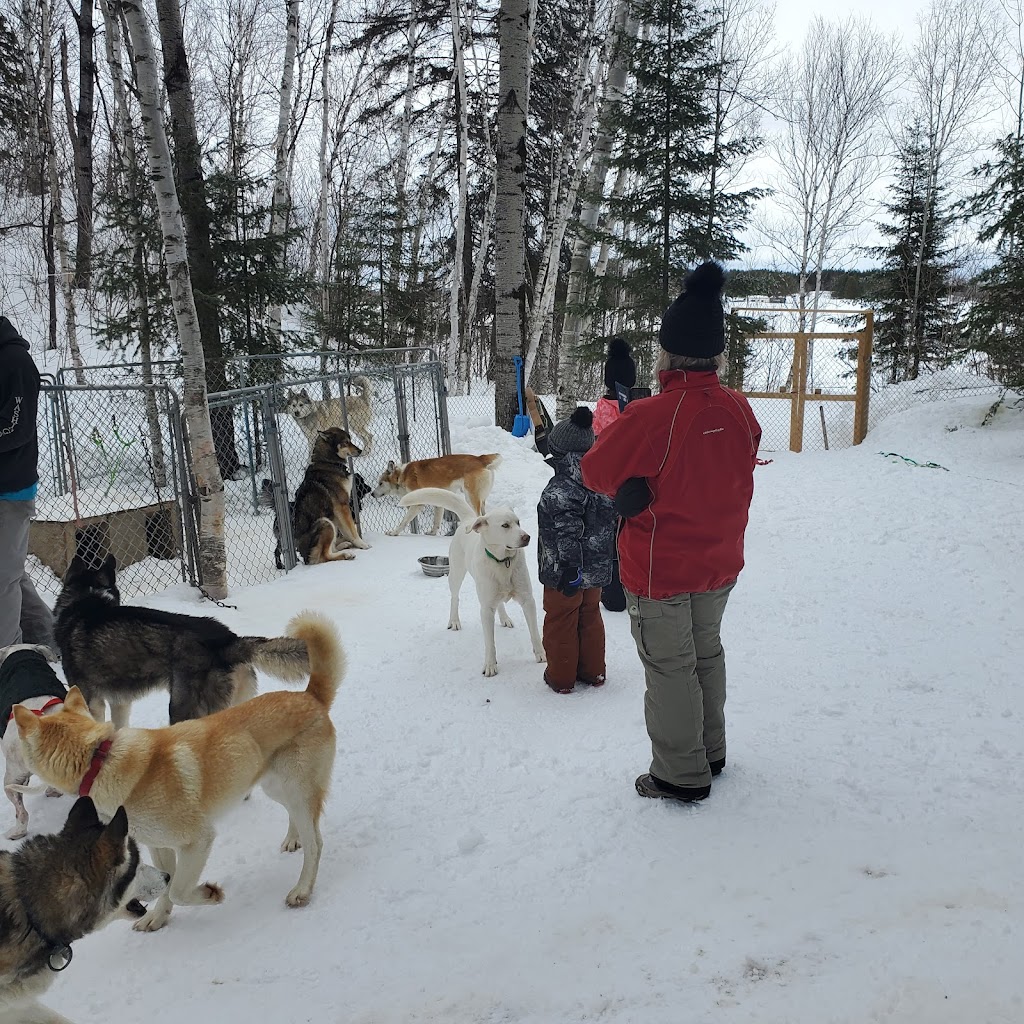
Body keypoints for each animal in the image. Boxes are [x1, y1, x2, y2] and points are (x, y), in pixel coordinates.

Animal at [12, 610, 344, 933]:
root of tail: (310, 696)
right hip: (276, 786)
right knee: (296, 818)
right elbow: (166, 885)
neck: (101, 759)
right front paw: (158, 918)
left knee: (316, 843)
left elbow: (178, 889)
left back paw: (302, 889)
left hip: (296, 787)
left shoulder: (198, 840)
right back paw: (292, 839)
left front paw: (209, 894)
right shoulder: (158, 845)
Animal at [397, 489, 548, 679]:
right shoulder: (485, 610)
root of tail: (469, 519)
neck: (502, 562)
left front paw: (541, 654)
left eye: (518, 522)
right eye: (505, 525)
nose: (527, 537)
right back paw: (454, 621)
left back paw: (504, 618)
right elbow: (490, 642)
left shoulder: (528, 601)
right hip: (456, 574)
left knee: (499, 603)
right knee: (455, 598)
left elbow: (534, 632)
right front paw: (490, 665)